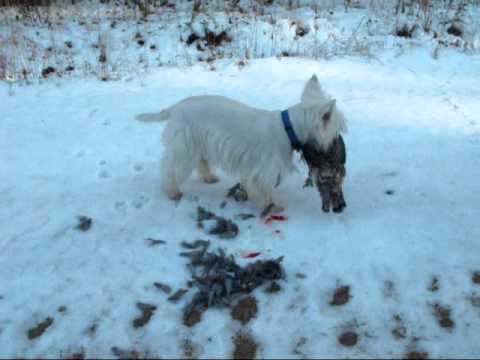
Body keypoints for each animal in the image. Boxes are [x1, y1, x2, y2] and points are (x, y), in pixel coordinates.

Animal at [135, 75, 344, 212]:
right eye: (338, 126)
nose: (336, 144)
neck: (288, 128)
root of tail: (175, 107)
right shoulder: (265, 170)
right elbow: (266, 188)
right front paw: (275, 205)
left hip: (200, 143)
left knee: (201, 162)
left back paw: (209, 177)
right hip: (185, 148)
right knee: (171, 169)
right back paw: (172, 192)